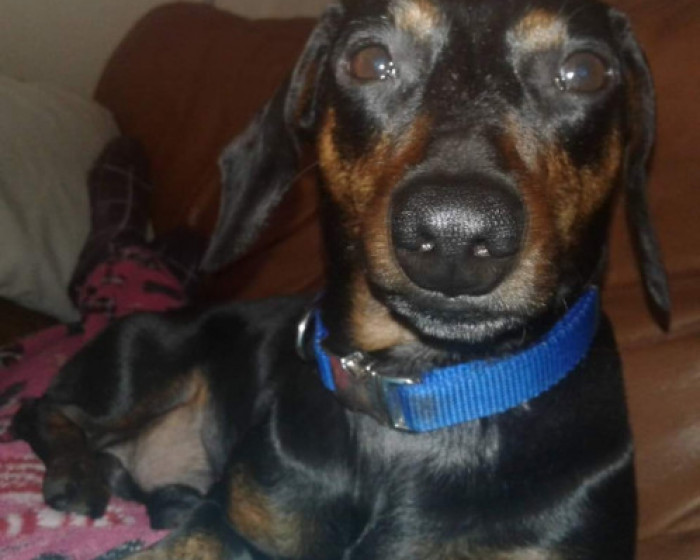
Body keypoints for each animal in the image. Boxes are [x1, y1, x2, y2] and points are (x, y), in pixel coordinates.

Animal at [14, 0, 671, 558]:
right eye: (369, 61)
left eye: (584, 71)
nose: (455, 235)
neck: (422, 394)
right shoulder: (229, 522)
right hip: (136, 365)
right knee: (43, 408)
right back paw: (75, 470)